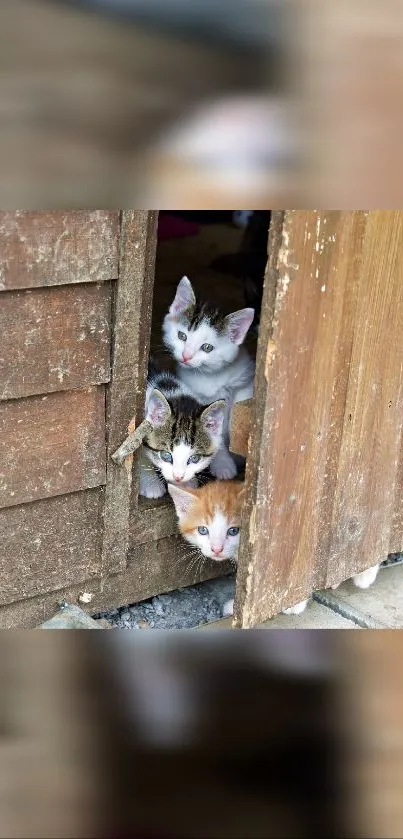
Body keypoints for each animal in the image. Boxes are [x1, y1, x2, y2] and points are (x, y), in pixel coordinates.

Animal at [163, 278, 254, 480]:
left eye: (207, 347)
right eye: (182, 336)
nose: (186, 356)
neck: (211, 376)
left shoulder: (245, 381)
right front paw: (224, 465)